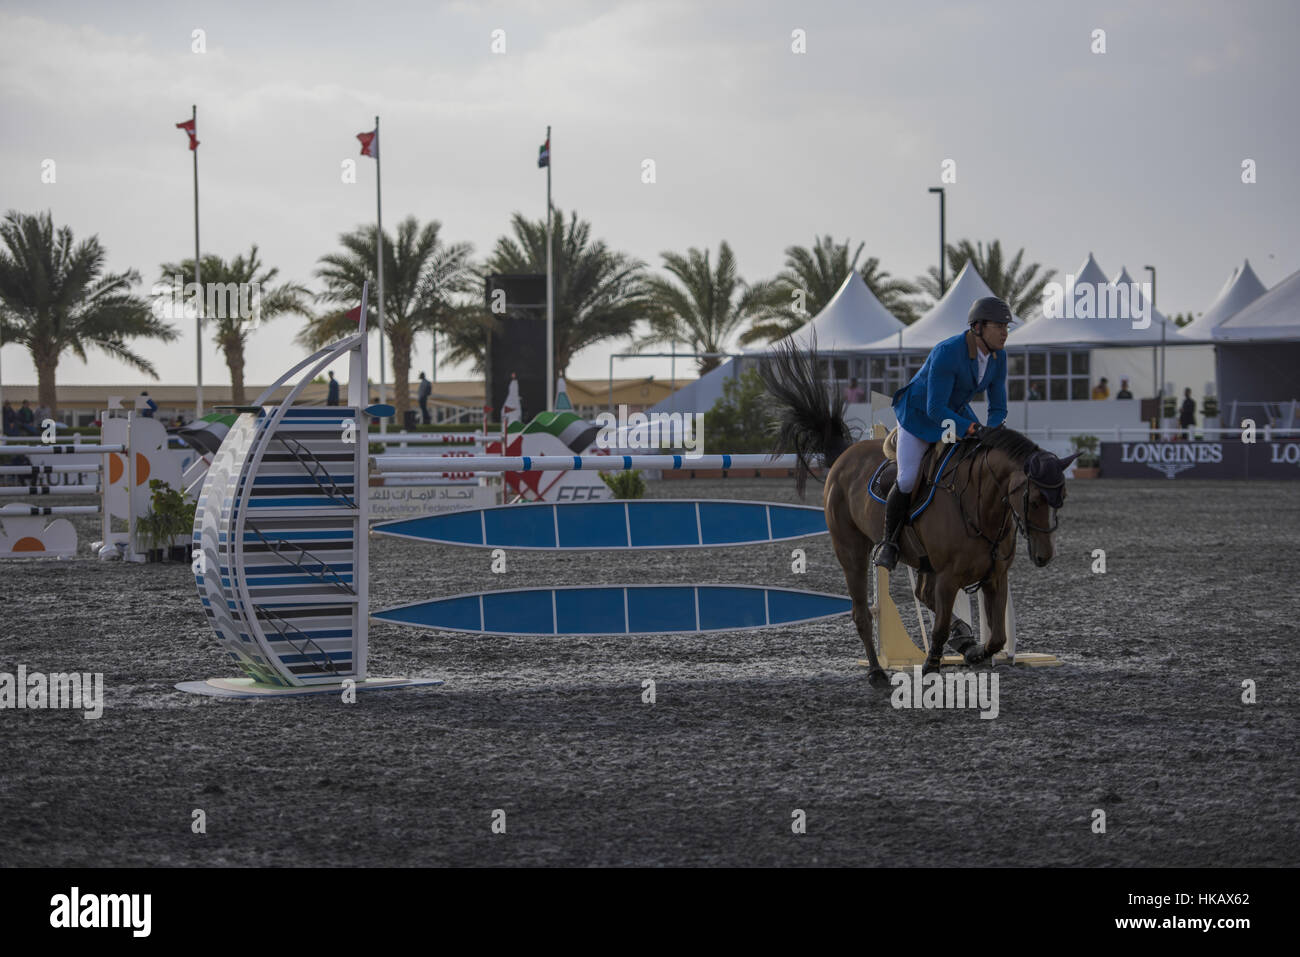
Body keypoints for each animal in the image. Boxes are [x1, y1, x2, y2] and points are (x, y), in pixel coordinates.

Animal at [759, 340, 1076, 686]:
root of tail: (844, 454)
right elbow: (938, 628)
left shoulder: (996, 576)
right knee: (862, 612)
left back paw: (962, 639)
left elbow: (996, 638)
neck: (981, 505)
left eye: (1061, 498)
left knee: (923, 594)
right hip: (852, 550)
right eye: (1034, 500)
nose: (1044, 556)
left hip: (922, 560)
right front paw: (932, 666)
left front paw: (974, 651)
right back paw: (876, 672)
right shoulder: (949, 577)